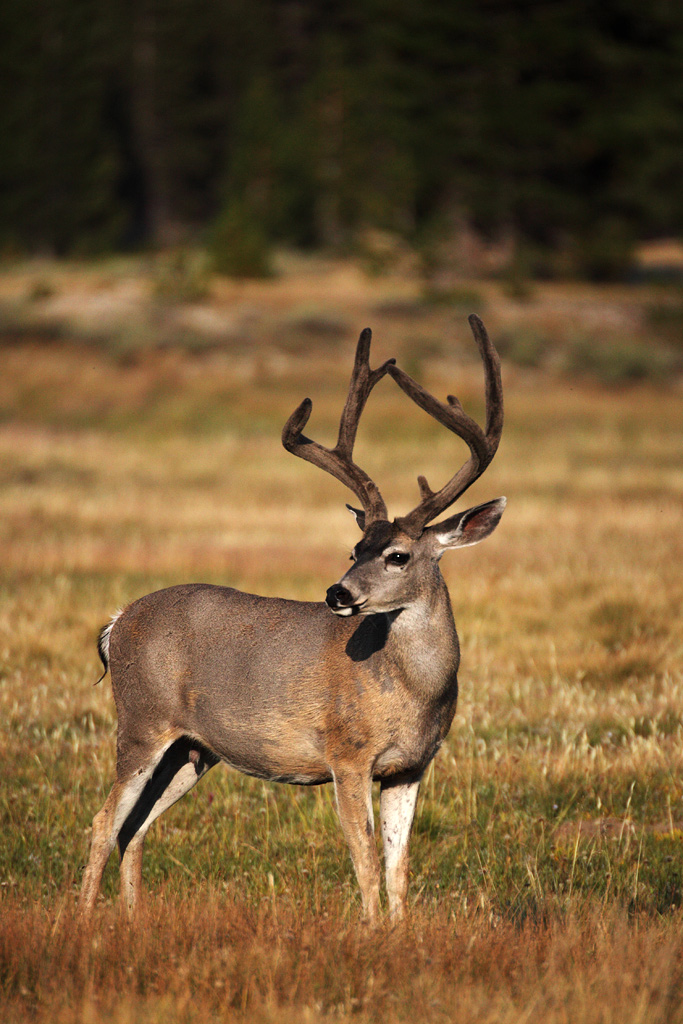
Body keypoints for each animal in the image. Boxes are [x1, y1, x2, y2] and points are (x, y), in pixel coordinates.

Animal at [77, 314, 505, 925]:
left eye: (397, 555)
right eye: (355, 548)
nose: (337, 592)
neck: (411, 689)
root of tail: (116, 624)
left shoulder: (411, 766)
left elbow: (399, 866)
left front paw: (401, 935)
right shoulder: (346, 753)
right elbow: (365, 859)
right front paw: (371, 934)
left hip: (193, 749)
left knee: (132, 827)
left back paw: (132, 922)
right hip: (141, 721)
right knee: (101, 820)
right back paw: (81, 923)